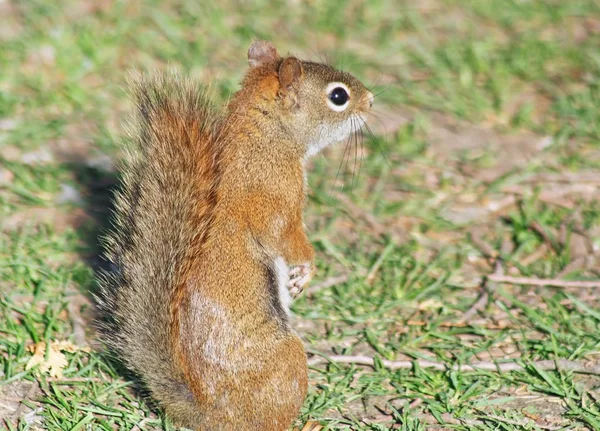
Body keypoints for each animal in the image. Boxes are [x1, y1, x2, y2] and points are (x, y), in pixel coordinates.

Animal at [96, 41, 372, 431]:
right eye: (338, 96)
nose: (371, 100)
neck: (265, 134)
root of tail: (206, 413)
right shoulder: (278, 198)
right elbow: (286, 238)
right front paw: (306, 270)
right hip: (288, 364)